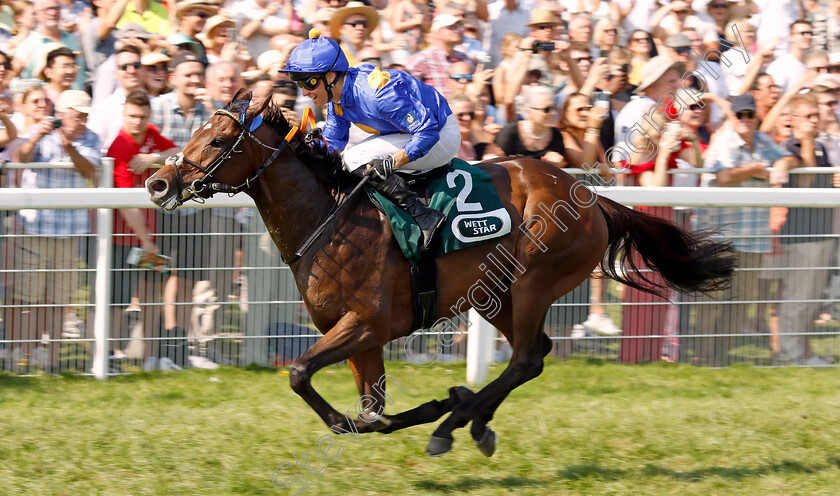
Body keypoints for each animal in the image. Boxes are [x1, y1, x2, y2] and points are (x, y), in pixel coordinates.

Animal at [146, 93, 736, 458]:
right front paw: (423, 407)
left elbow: (301, 375)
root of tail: (589, 195)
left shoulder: (367, 324)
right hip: (495, 294)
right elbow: (374, 411)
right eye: (195, 128)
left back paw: (455, 423)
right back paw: (472, 420)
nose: (157, 183)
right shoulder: (356, 336)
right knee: (535, 355)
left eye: (218, 141)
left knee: (524, 358)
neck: (329, 219)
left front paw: (434, 406)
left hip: (532, 280)